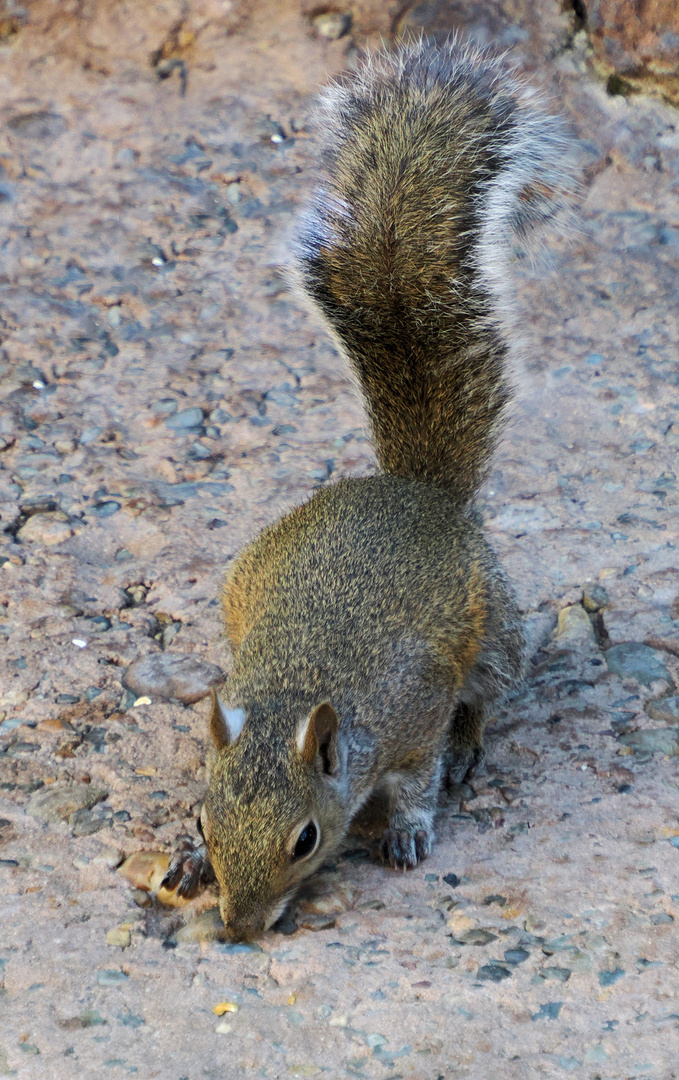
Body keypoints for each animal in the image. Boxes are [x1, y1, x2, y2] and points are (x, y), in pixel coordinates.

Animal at [161, 39, 574, 937]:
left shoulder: (413, 712)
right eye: (204, 819)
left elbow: (417, 778)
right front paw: (183, 862)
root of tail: (415, 491)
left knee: (486, 695)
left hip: (493, 632)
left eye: (305, 839)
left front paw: (410, 832)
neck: (297, 691)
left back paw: (469, 749)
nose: (239, 929)